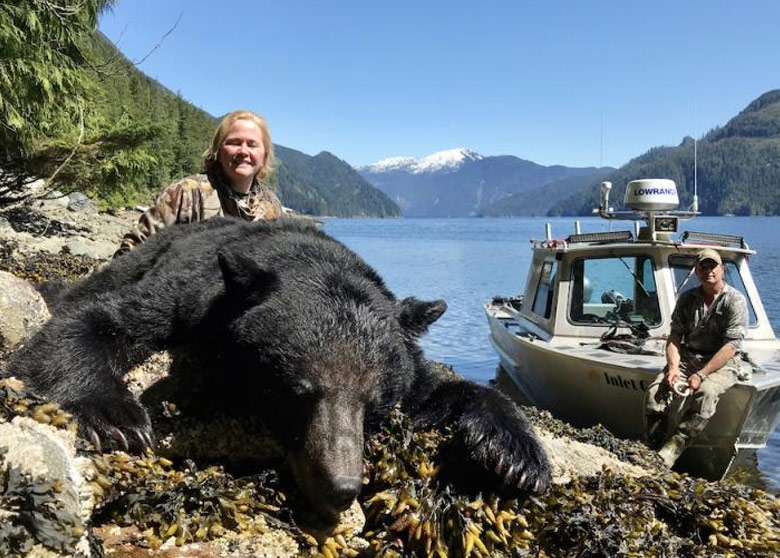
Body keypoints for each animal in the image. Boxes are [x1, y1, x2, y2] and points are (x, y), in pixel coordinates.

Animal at [5, 218, 550, 523]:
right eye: (298, 391)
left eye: (375, 406)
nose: (341, 486)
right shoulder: (184, 294)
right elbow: (96, 321)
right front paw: (116, 416)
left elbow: (445, 388)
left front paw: (516, 455)